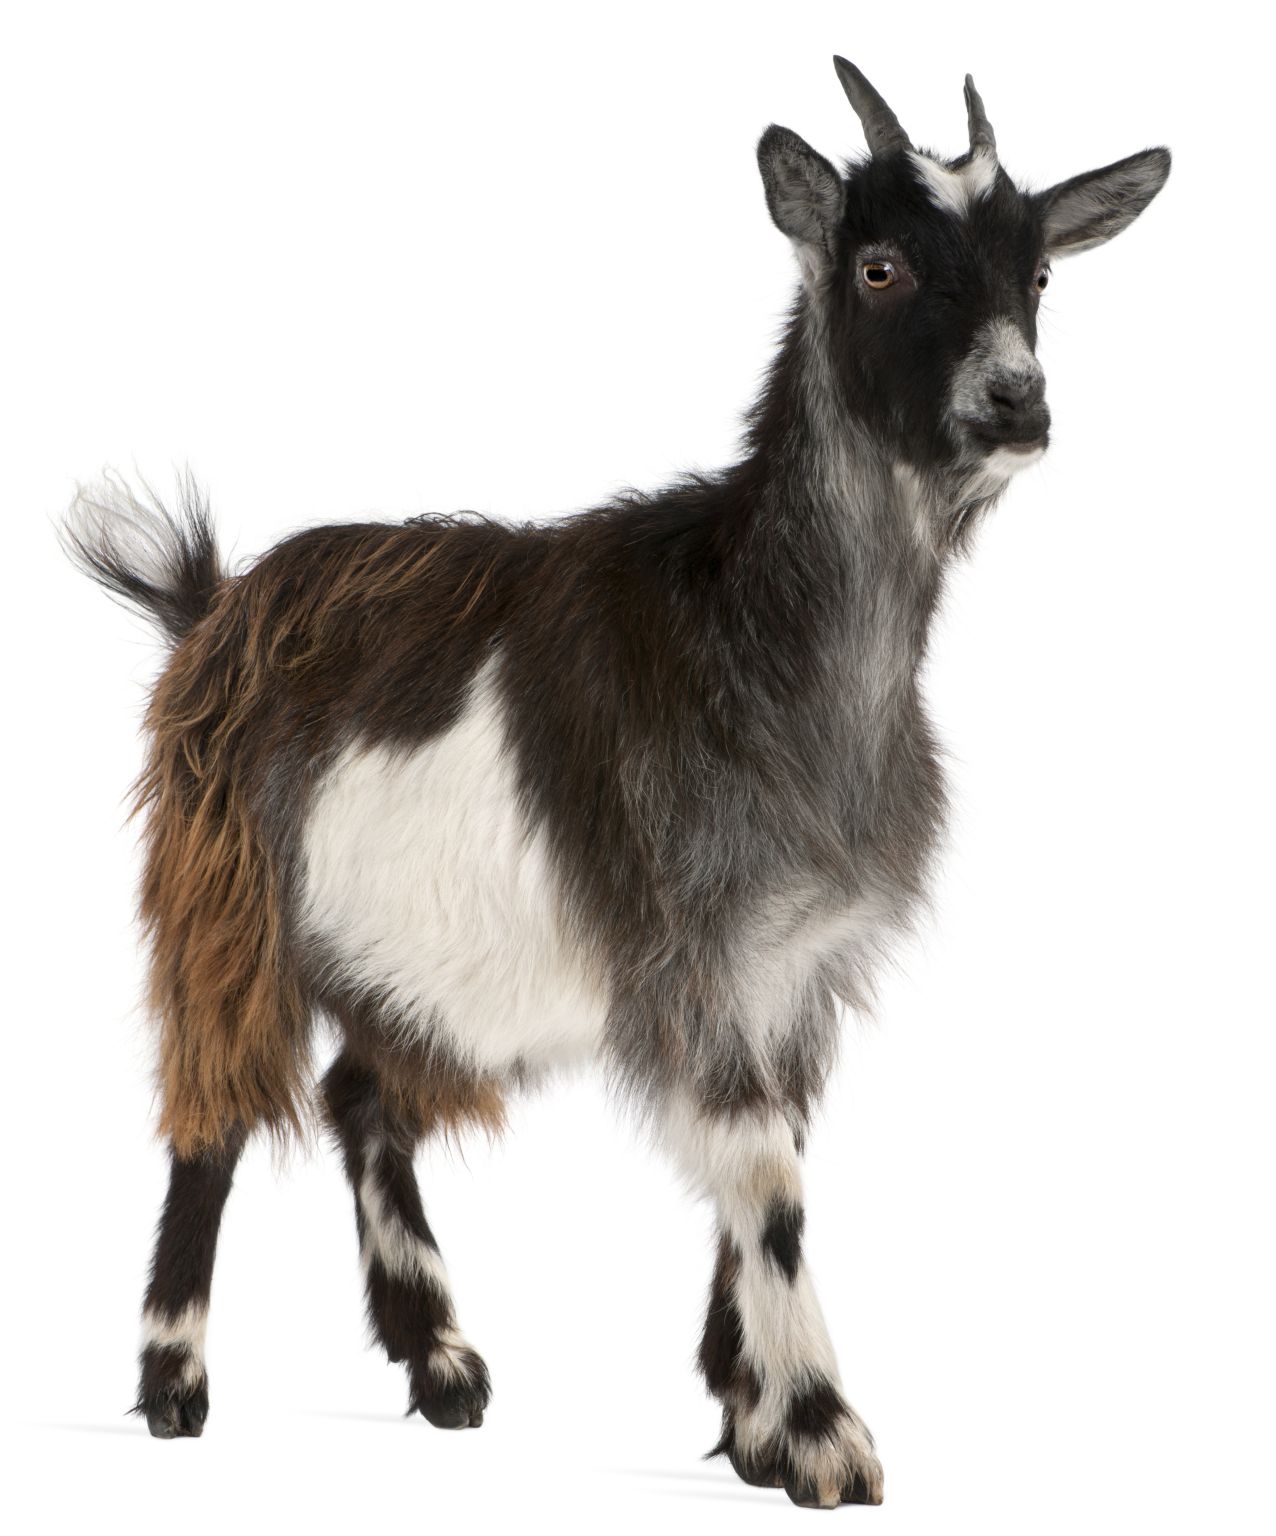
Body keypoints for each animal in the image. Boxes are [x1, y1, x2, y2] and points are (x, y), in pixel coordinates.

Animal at [62, 59, 1168, 1508]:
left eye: (1035, 273)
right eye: (877, 265)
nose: (1015, 405)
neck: (758, 631)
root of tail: (213, 604)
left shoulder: (793, 970)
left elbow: (762, 1173)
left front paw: (750, 1424)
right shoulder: (692, 944)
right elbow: (767, 1179)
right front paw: (825, 1439)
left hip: (415, 955)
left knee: (361, 1100)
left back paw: (441, 1362)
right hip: (226, 890)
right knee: (214, 1115)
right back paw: (176, 1382)